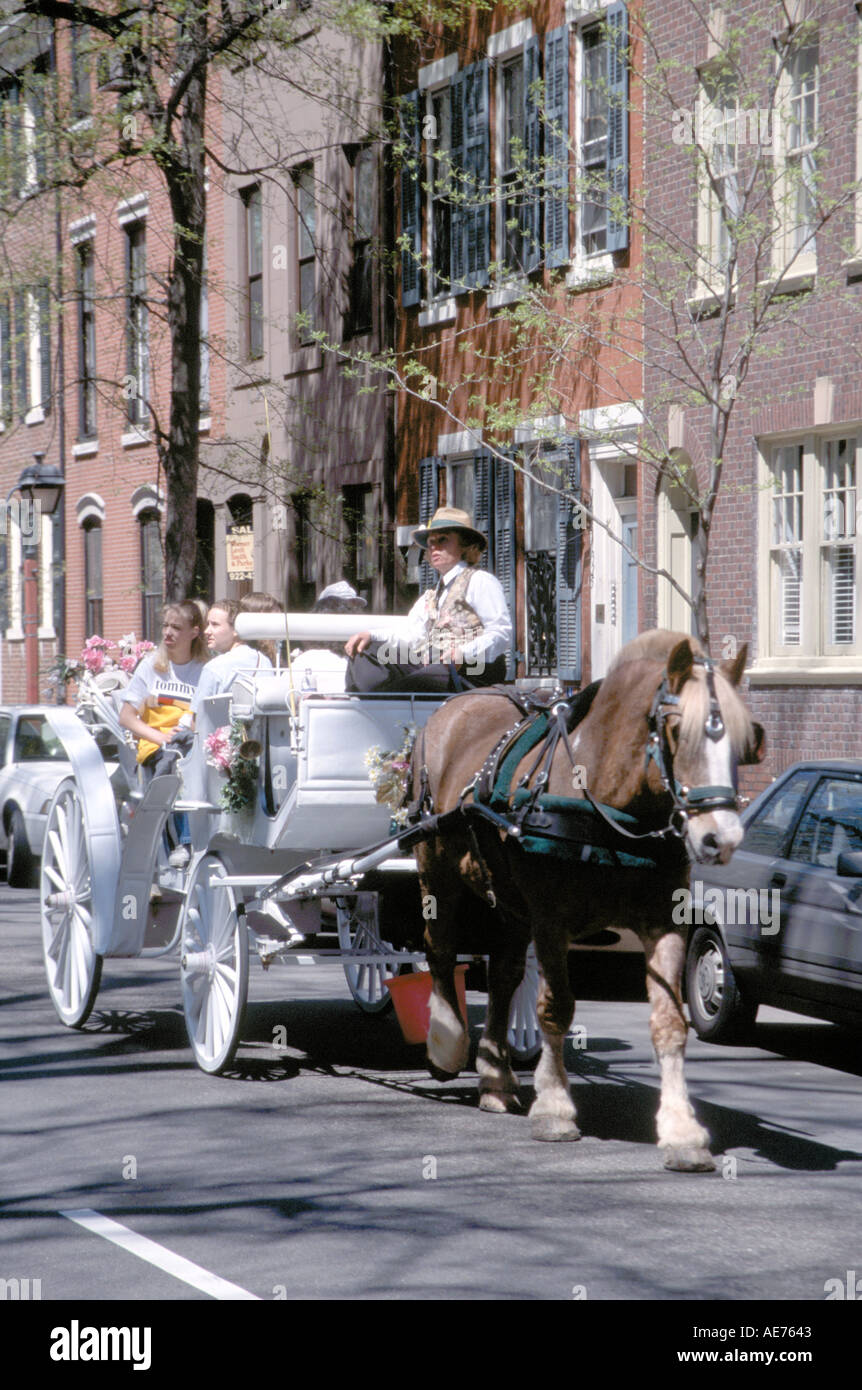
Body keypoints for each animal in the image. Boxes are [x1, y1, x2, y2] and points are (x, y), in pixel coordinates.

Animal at [414, 633, 761, 1173]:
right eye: (676, 730)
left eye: (745, 744)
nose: (719, 839)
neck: (608, 804)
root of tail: (456, 704)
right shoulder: (551, 921)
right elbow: (555, 1008)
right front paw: (555, 1107)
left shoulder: (664, 921)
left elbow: (670, 1022)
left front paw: (681, 1130)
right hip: (437, 869)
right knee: (441, 950)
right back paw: (447, 1043)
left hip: (508, 901)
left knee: (503, 976)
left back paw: (495, 1076)